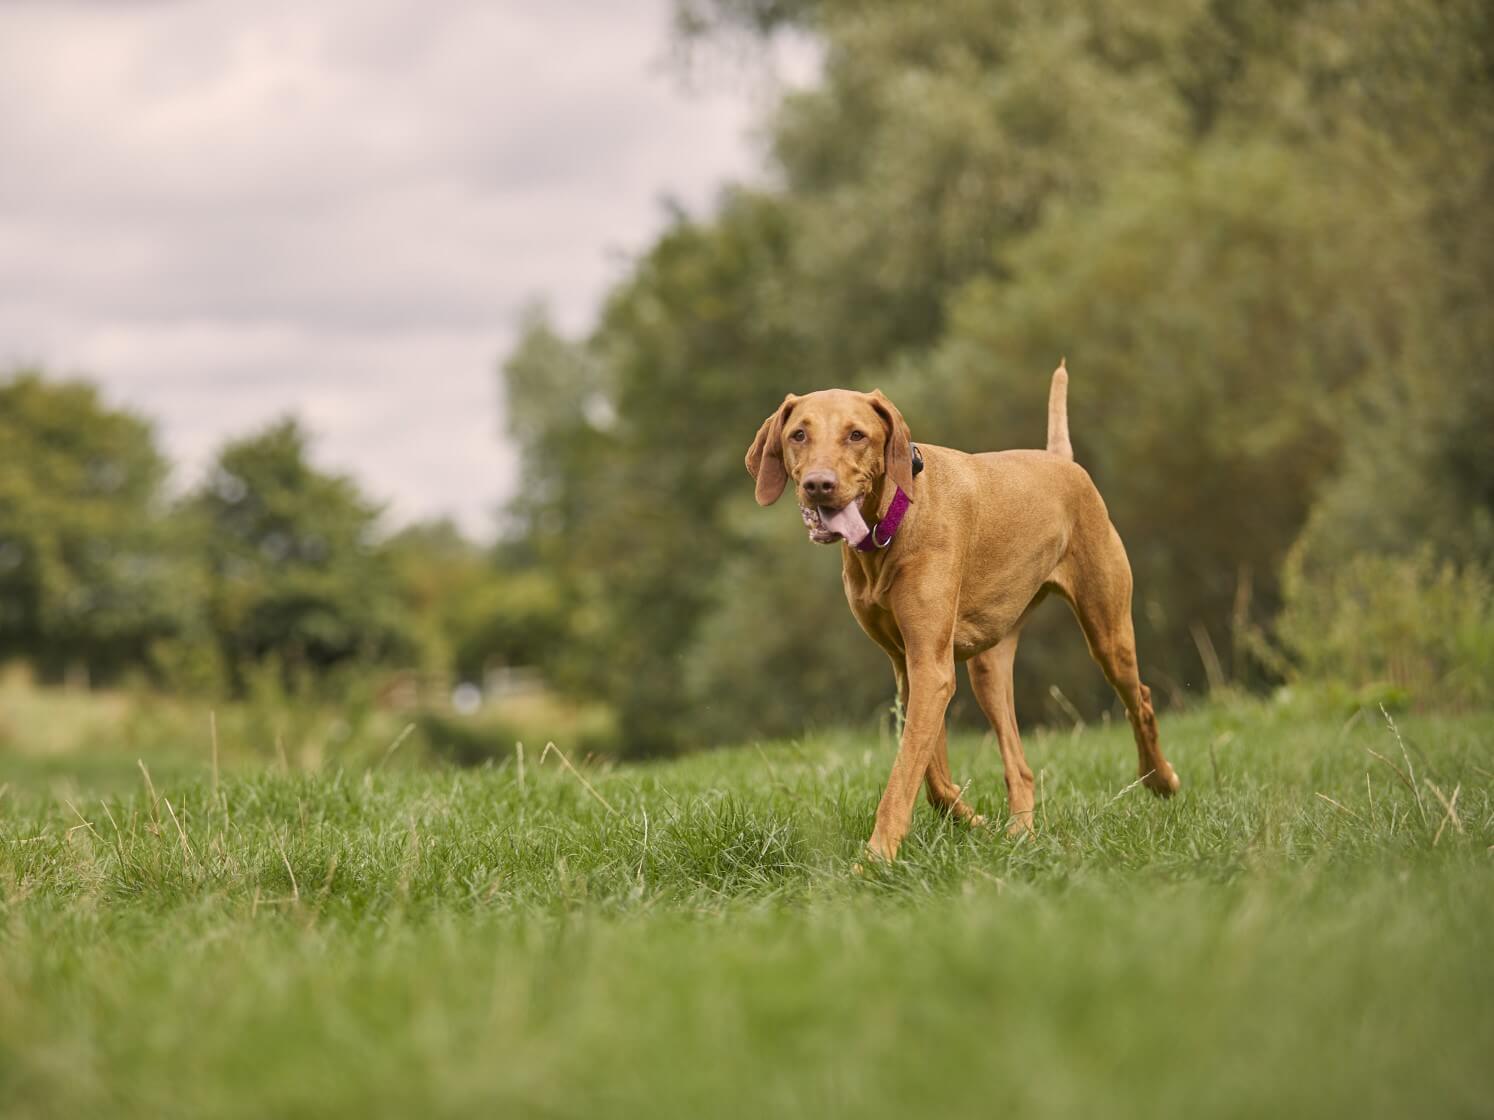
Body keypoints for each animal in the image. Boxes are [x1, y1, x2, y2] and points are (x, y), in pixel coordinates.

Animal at [744, 364, 1177, 866]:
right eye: (798, 434)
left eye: (857, 435)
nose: (819, 484)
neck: (891, 524)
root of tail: (1060, 460)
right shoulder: (911, 667)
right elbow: (930, 776)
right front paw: (972, 821)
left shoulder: (931, 669)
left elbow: (903, 778)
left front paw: (875, 859)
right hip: (989, 666)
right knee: (1019, 764)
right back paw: (1020, 833)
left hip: (1108, 632)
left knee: (1140, 698)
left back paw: (1161, 780)